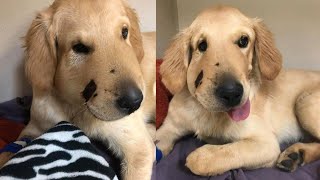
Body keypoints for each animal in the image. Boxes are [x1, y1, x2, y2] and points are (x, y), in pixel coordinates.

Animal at [0, 0, 155, 179]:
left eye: (124, 32)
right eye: (79, 47)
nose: (135, 101)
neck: (76, 108)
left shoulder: (138, 148)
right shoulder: (34, 127)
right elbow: (10, 150)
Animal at [157, 5, 320, 176]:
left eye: (243, 40)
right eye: (201, 45)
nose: (231, 93)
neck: (206, 110)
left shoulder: (266, 143)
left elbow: (222, 152)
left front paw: (201, 156)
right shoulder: (168, 128)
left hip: (305, 102)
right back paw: (296, 154)